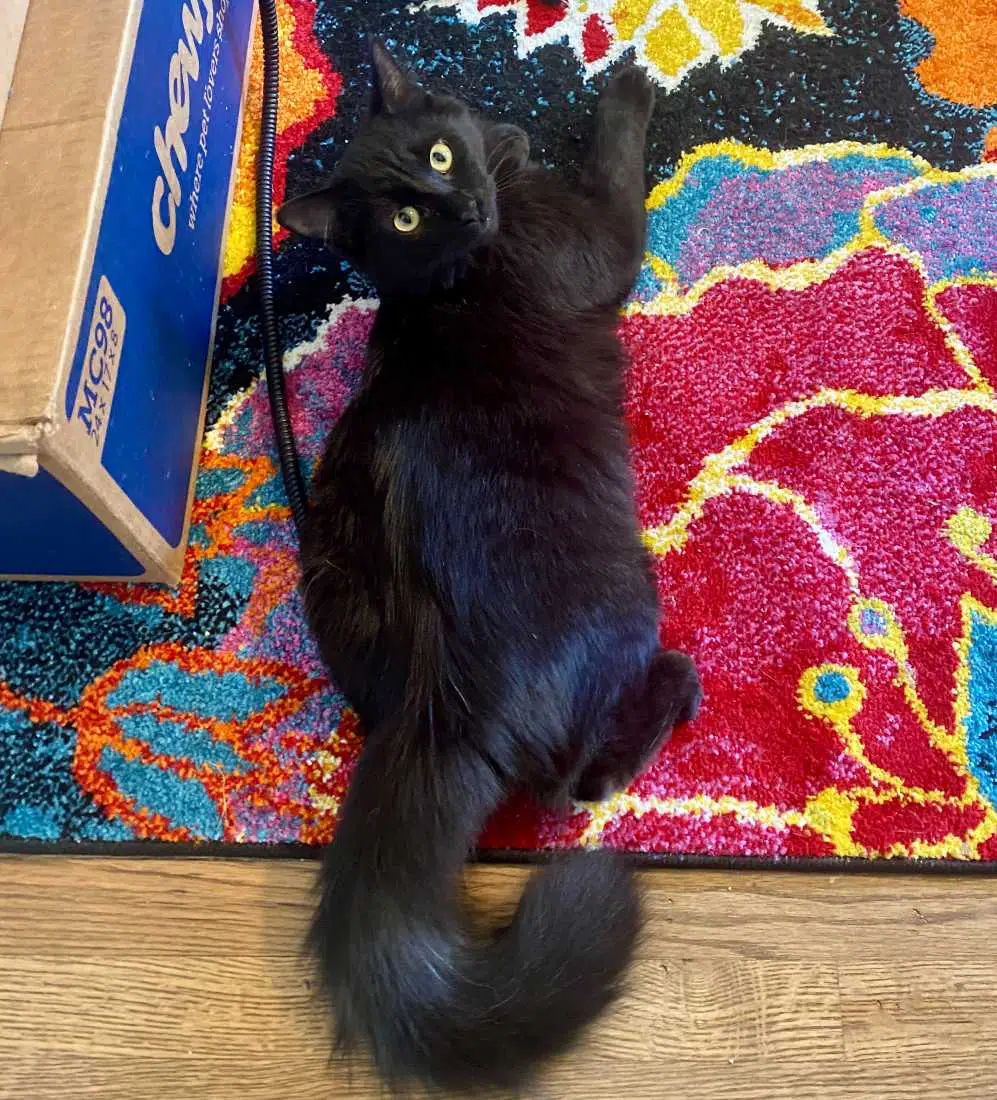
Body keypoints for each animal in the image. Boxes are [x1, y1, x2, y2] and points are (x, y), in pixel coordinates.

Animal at [277, 40, 702, 1094]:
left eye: (435, 154)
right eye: (403, 217)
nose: (463, 201)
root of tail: (442, 702)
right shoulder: (596, 236)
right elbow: (616, 172)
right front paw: (624, 89)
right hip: (627, 597)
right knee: (573, 783)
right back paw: (675, 688)